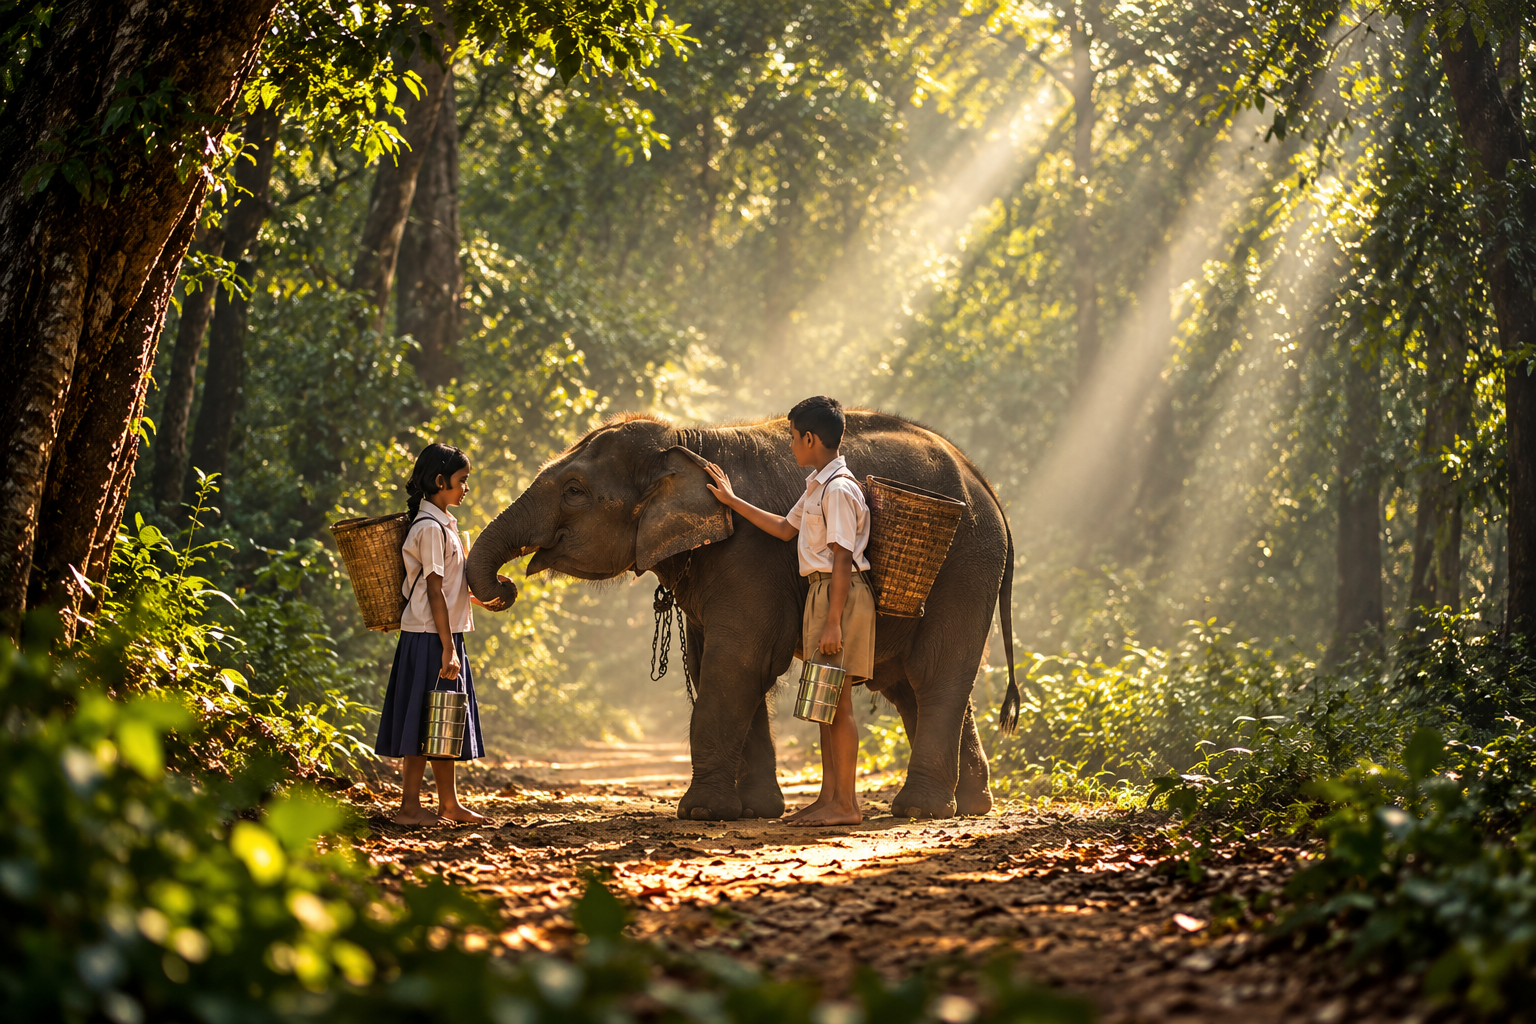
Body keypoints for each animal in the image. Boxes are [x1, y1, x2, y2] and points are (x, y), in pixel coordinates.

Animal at [465, 411, 1020, 820]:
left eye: (575, 490)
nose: (504, 588)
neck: (683, 439)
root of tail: (988, 487)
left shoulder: (750, 555)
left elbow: (740, 662)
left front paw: (701, 813)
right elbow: (711, 661)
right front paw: (754, 810)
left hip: (967, 564)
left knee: (934, 676)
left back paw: (920, 811)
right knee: (909, 684)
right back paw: (972, 806)